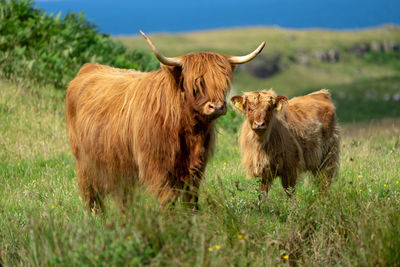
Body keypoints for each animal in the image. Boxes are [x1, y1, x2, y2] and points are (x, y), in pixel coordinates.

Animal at [65, 31, 266, 211]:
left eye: (224, 84)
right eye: (196, 84)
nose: (216, 107)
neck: (189, 129)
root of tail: (88, 67)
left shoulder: (196, 167)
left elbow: (190, 199)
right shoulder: (155, 164)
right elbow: (167, 198)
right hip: (85, 161)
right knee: (91, 194)